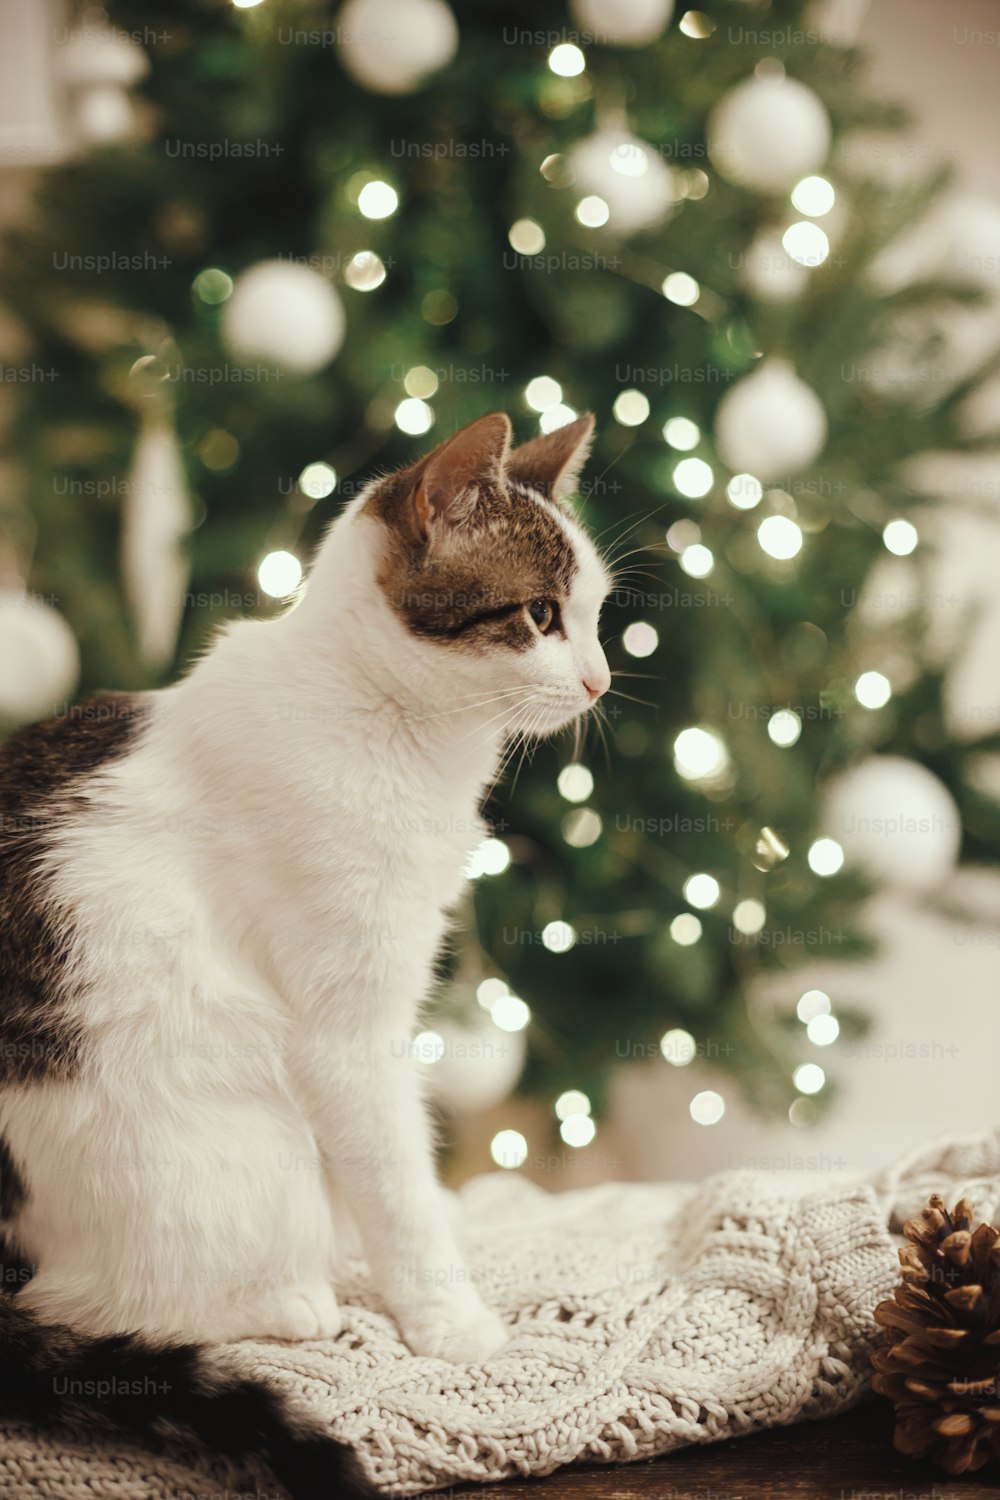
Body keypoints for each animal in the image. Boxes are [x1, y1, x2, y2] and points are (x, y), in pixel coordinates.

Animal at [0, 405, 611, 1494]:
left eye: (595, 615)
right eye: (541, 615)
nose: (599, 679)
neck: (401, 728)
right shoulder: (346, 1030)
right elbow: (400, 1186)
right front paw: (450, 1321)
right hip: (222, 1144)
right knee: (79, 1302)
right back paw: (285, 1300)